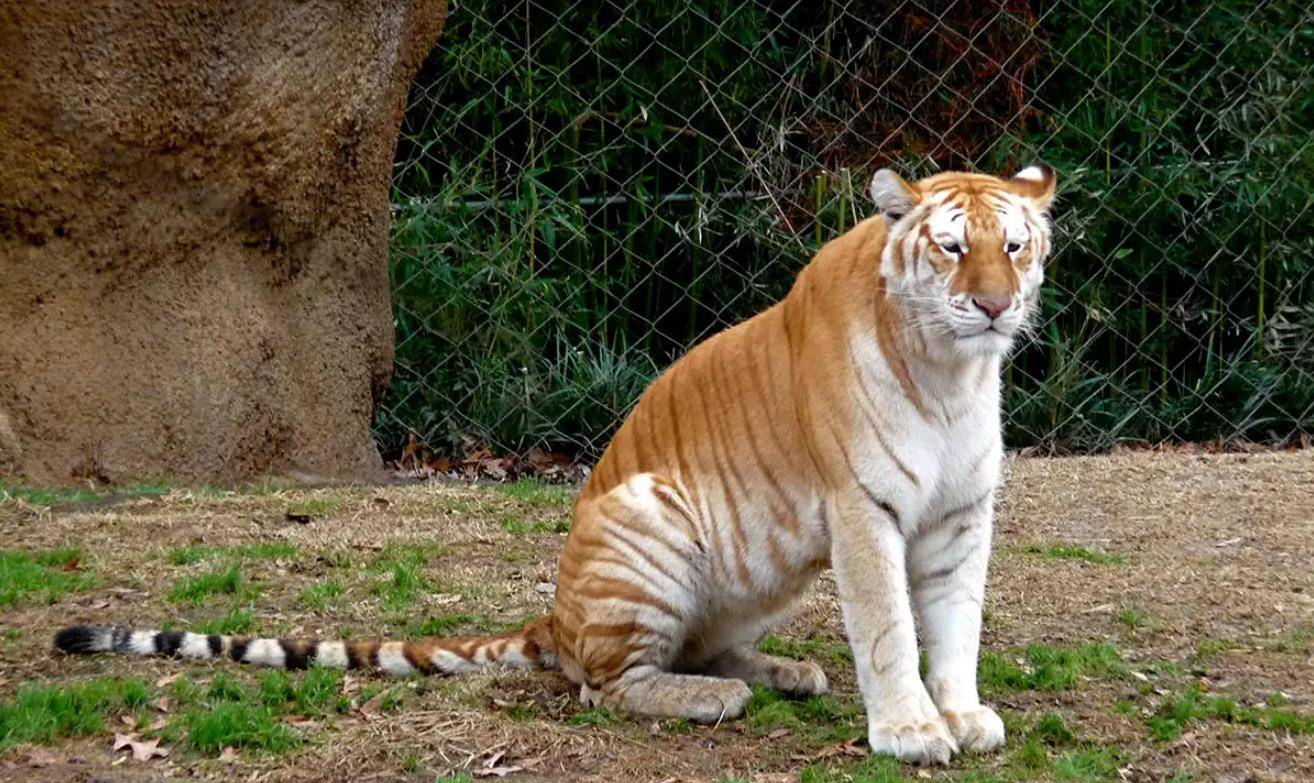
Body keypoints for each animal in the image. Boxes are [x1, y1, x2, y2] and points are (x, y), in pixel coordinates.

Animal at [56, 163, 1056, 764]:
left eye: (1014, 246)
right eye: (952, 248)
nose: (995, 307)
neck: (952, 374)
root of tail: (557, 615)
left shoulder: (963, 514)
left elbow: (954, 624)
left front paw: (962, 711)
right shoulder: (861, 509)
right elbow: (889, 627)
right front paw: (911, 731)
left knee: (698, 643)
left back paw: (780, 673)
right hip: (652, 520)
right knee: (606, 685)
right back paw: (716, 698)